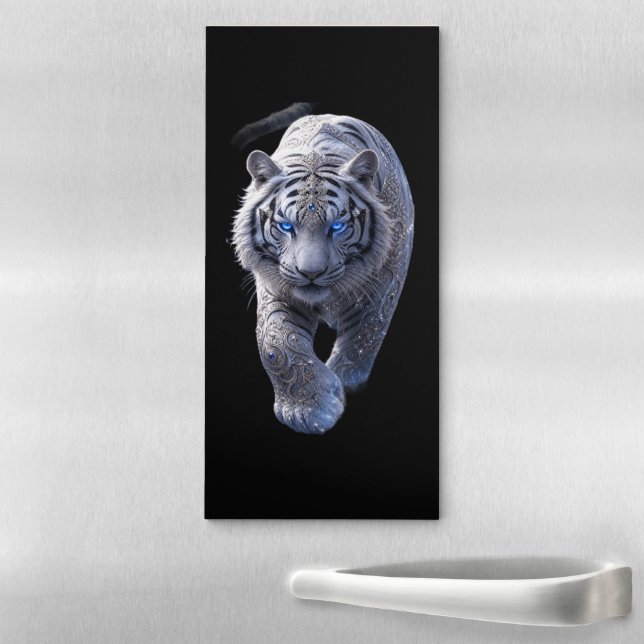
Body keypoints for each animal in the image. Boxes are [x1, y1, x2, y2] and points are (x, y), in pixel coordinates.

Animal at [232, 114, 414, 434]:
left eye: (337, 226)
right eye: (286, 226)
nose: (311, 273)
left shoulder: (383, 283)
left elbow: (365, 332)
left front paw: (344, 381)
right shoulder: (277, 285)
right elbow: (274, 343)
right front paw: (309, 411)